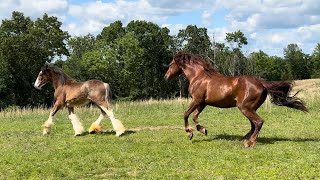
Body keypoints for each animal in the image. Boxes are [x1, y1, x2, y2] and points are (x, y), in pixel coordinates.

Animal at [165, 52, 308, 148]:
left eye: (171, 64)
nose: (166, 77)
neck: (198, 77)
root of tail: (261, 83)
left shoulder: (196, 100)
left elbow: (186, 114)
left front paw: (190, 133)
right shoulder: (202, 103)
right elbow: (195, 116)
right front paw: (203, 130)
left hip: (245, 108)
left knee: (258, 122)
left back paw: (249, 143)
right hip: (250, 108)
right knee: (253, 124)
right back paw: (245, 138)